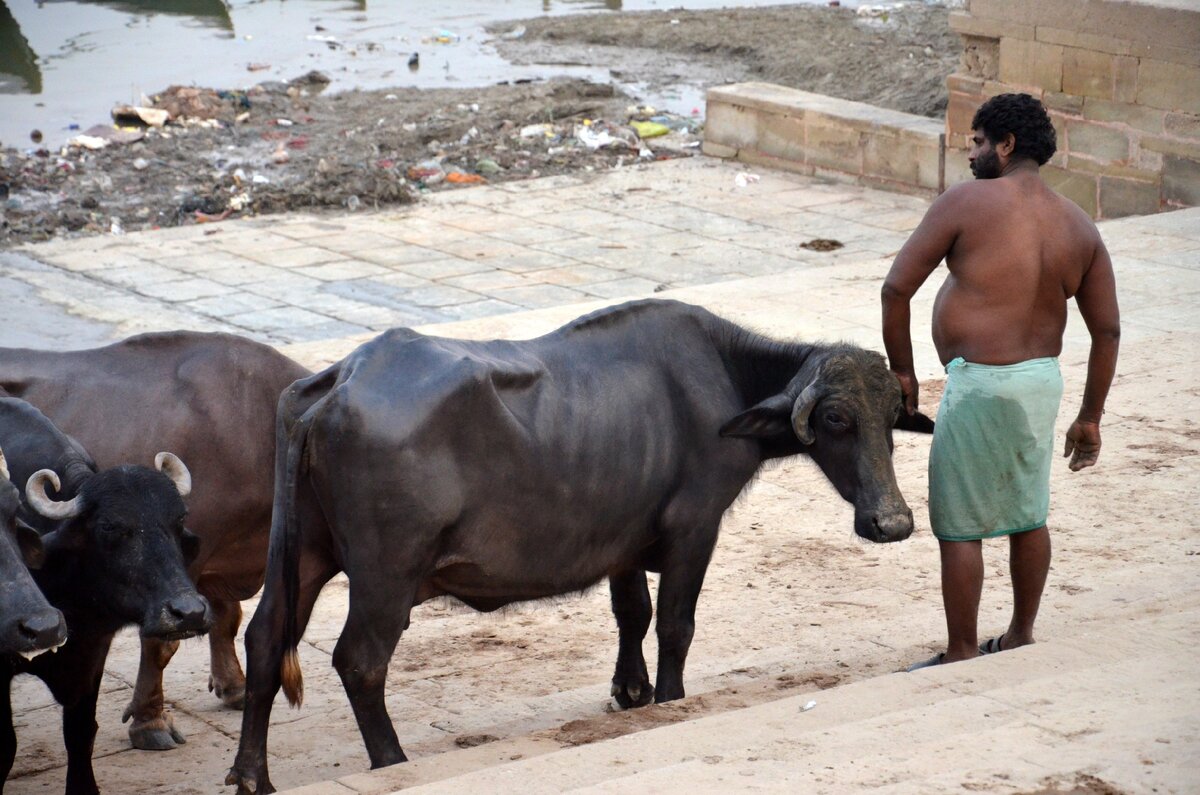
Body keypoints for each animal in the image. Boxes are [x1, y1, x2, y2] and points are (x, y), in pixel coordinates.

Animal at [229, 299, 931, 792]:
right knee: (360, 661)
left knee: (264, 640)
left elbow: (633, 613)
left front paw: (631, 692)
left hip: (303, 553)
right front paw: (669, 698)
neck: (725, 380)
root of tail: (339, 384)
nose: (893, 522)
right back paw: (391, 759)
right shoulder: (694, 530)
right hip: (385, 575)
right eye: (836, 419)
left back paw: (251, 774)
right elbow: (675, 625)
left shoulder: (623, 541)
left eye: (892, 418)